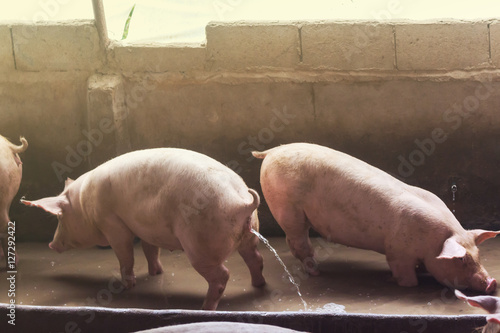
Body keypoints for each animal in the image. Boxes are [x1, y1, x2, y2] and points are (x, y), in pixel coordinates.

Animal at [22, 148, 268, 308]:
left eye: (60, 218)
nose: (51, 244)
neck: (85, 205)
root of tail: (241, 203)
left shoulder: (113, 224)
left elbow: (125, 255)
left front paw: (128, 285)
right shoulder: (147, 228)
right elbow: (151, 250)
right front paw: (155, 273)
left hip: (200, 246)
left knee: (222, 276)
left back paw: (205, 307)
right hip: (250, 234)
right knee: (256, 258)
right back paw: (259, 285)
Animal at [254, 141, 500, 292]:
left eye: (478, 254)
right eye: (461, 259)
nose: (492, 282)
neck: (432, 242)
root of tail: (270, 152)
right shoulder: (397, 250)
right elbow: (405, 276)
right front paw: (396, 281)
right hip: (287, 208)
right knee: (298, 241)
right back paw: (316, 272)